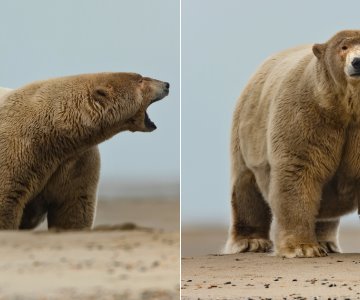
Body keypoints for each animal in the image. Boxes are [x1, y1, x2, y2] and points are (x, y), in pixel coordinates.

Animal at [0, 72, 169, 230]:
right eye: (140, 79)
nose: (166, 84)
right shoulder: (19, 152)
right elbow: (7, 201)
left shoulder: (76, 162)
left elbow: (73, 210)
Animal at [224, 29, 360, 256]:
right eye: (343, 47)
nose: (357, 61)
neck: (346, 108)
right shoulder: (308, 114)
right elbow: (298, 170)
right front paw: (302, 247)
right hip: (246, 133)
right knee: (246, 187)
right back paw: (251, 242)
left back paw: (327, 242)